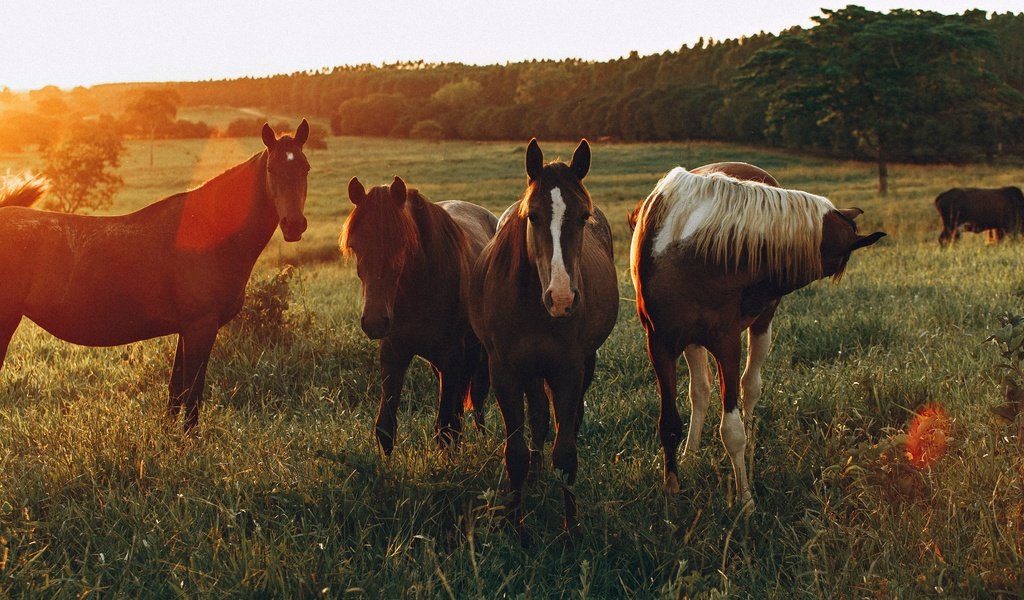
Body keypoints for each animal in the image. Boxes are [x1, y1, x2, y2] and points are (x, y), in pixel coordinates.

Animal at [0, 119, 309, 432]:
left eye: (305, 168)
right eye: (271, 169)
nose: (294, 225)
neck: (207, 231)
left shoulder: (186, 329)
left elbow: (176, 390)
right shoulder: (201, 327)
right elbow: (193, 392)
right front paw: (189, 439)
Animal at [339, 175, 495, 450]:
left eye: (401, 244)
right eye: (355, 246)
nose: (375, 322)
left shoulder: (452, 355)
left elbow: (445, 430)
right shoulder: (394, 353)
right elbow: (385, 429)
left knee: (476, 399)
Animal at [468, 138, 618, 540]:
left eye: (583, 216)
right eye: (532, 216)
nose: (562, 298)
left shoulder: (568, 370)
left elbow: (565, 453)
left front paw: (572, 529)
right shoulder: (505, 372)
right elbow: (516, 452)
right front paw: (516, 525)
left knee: (566, 421)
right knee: (537, 419)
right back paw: (534, 478)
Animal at [626, 160, 884, 507]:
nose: (762, 294)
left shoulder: (727, 342)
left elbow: (732, 430)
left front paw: (745, 500)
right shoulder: (660, 343)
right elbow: (668, 422)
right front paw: (672, 491)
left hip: (760, 327)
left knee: (750, 387)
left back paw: (746, 455)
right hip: (692, 341)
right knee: (701, 391)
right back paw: (691, 455)